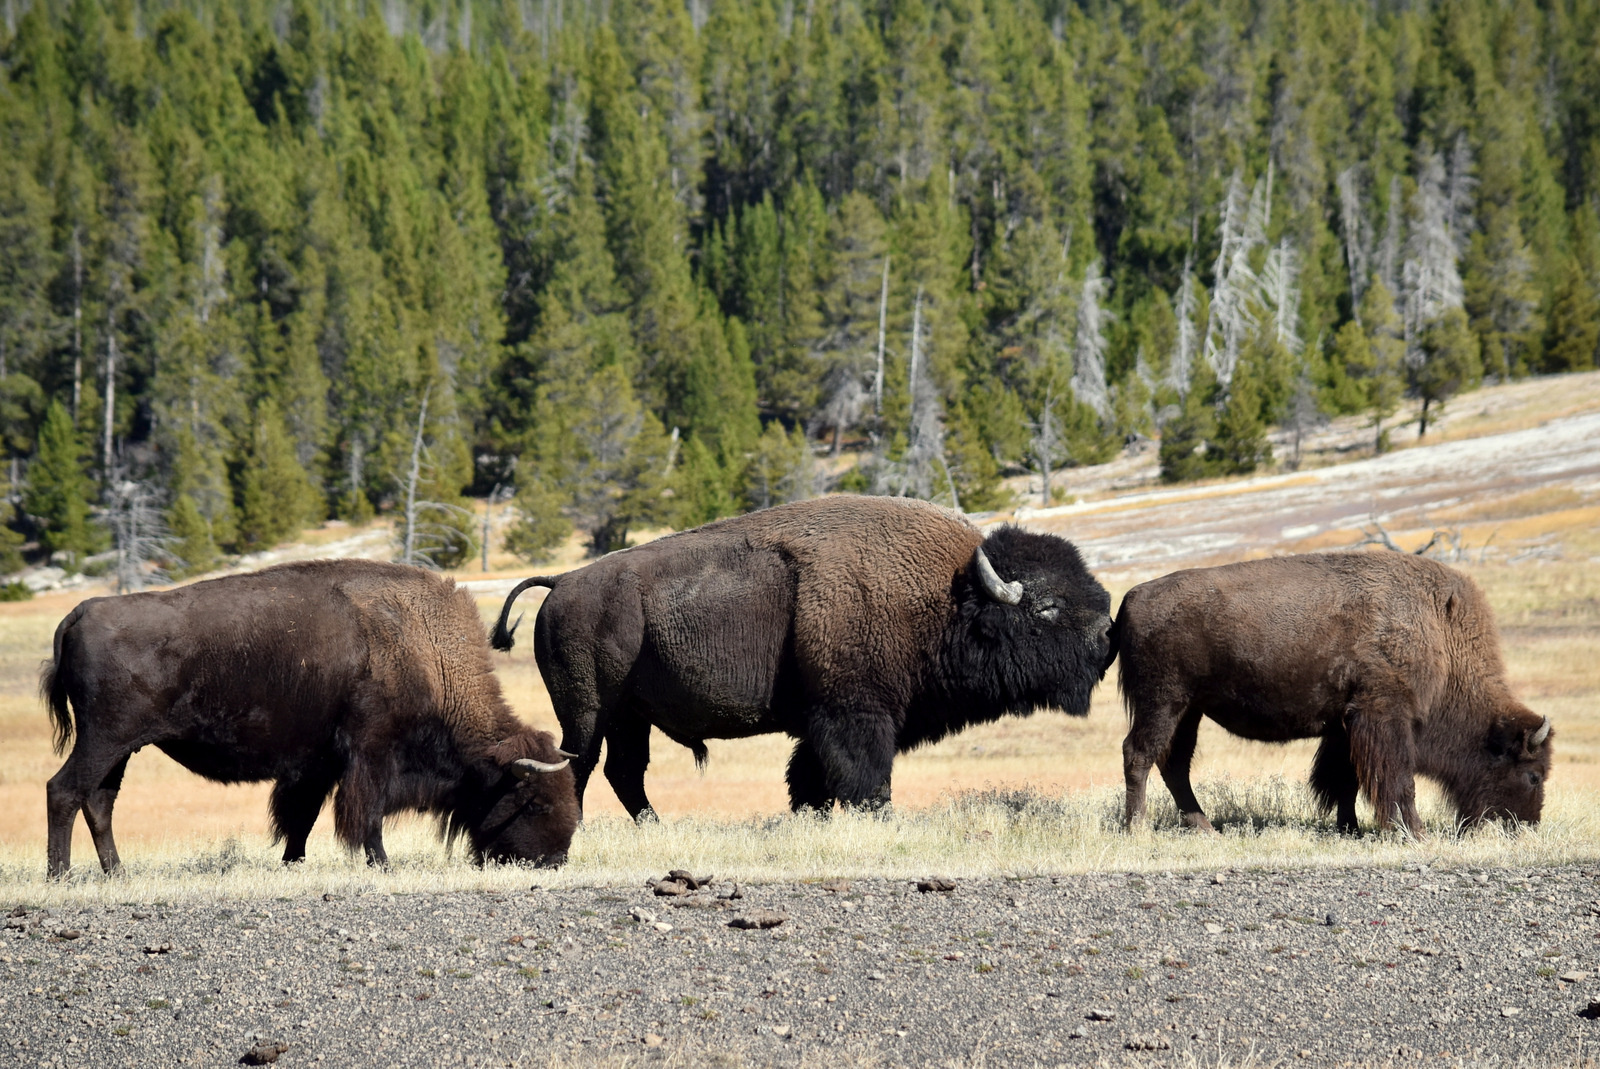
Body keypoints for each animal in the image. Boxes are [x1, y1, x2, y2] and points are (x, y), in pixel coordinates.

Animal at [39, 560, 582, 876]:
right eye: (533, 803)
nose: (554, 861)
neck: (422, 647)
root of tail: (79, 614)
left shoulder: (317, 765)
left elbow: (301, 817)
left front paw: (293, 862)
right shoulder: (369, 754)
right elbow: (365, 815)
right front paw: (381, 865)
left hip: (121, 748)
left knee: (99, 801)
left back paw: (117, 873)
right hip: (104, 739)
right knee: (64, 791)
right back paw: (61, 875)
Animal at [489, 492, 1113, 819]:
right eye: (1047, 608)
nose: (1107, 641)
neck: (950, 594)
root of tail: (563, 582)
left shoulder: (824, 721)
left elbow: (809, 773)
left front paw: (807, 813)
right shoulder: (856, 713)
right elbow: (864, 774)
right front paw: (876, 817)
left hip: (629, 716)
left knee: (623, 770)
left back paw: (653, 826)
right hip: (589, 711)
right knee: (581, 763)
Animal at [1113, 550, 1548, 832]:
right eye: (1533, 776)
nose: (1527, 825)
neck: (1439, 630)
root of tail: (1132, 598)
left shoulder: (1346, 726)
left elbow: (1346, 780)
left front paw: (1350, 827)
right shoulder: (1385, 717)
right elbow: (1398, 779)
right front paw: (1413, 831)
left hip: (1189, 710)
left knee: (1174, 764)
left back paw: (1203, 827)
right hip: (1164, 702)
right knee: (1139, 754)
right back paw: (1137, 828)